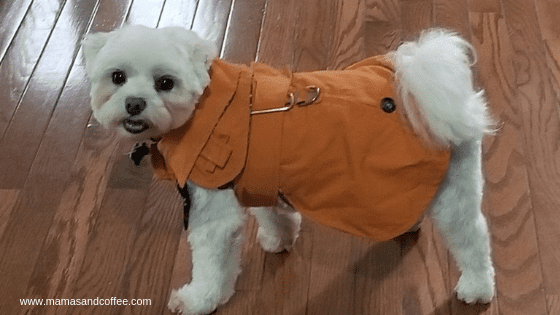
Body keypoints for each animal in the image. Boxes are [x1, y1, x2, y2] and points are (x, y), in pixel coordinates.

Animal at [82, 25, 494, 315]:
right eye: (117, 77)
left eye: (165, 83)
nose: (134, 104)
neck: (207, 109)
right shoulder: (258, 175)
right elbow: (272, 212)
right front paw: (279, 238)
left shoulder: (213, 212)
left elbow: (211, 264)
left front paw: (200, 300)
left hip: (456, 194)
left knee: (473, 239)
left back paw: (477, 287)